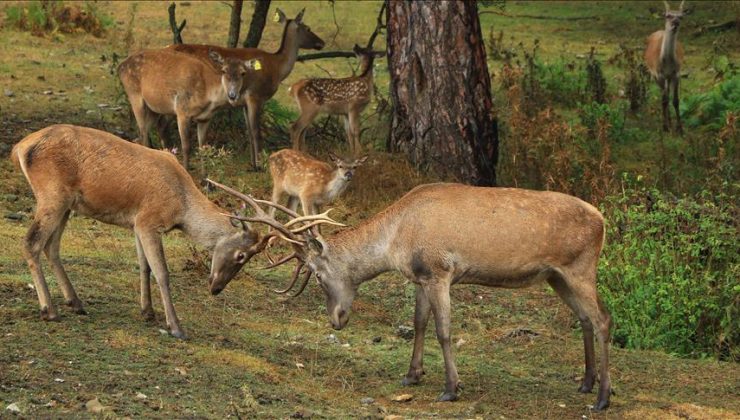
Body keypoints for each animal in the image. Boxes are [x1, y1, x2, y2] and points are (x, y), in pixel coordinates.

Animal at [9, 124, 284, 338]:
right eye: (241, 255)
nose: (216, 288)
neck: (181, 206)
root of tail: (20, 147)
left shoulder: (136, 223)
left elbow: (144, 266)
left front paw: (148, 312)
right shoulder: (149, 221)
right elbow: (162, 272)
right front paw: (176, 327)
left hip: (67, 205)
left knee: (51, 246)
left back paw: (75, 302)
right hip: (52, 195)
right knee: (31, 243)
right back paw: (49, 310)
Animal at [120, 48, 258, 169]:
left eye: (243, 73)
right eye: (224, 71)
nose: (232, 95)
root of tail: (120, 66)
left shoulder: (205, 118)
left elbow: (202, 147)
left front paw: (205, 180)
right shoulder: (182, 110)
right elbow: (186, 147)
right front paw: (187, 170)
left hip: (154, 108)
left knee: (146, 131)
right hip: (134, 95)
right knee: (143, 132)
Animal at [173, 7, 326, 168]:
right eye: (308, 28)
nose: (322, 42)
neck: (277, 68)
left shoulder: (244, 102)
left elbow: (249, 132)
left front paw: (253, 164)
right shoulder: (255, 95)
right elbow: (256, 132)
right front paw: (260, 165)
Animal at [217, 183, 616, 410]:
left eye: (316, 274)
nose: (337, 319)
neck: (395, 241)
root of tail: (603, 221)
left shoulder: (440, 271)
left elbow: (443, 331)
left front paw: (451, 388)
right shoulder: (421, 278)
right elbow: (419, 323)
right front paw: (412, 375)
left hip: (580, 268)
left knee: (603, 319)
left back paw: (603, 397)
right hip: (556, 277)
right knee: (584, 319)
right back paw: (585, 383)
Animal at [648, 0, 688, 134]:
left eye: (681, 16)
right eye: (668, 15)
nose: (675, 23)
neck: (667, 63)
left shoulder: (676, 73)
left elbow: (675, 100)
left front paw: (680, 128)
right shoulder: (658, 74)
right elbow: (664, 101)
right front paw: (664, 127)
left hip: (668, 77)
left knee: (668, 94)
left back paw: (670, 121)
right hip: (655, 76)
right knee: (664, 96)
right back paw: (667, 122)